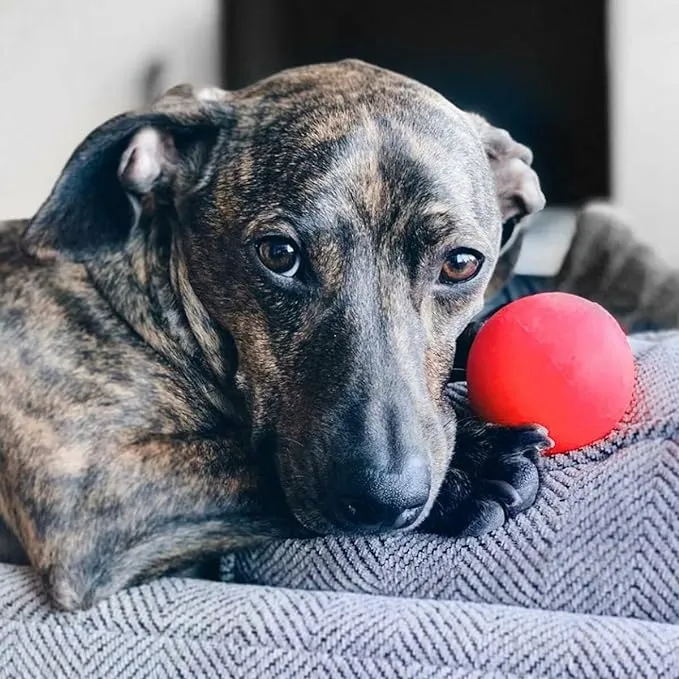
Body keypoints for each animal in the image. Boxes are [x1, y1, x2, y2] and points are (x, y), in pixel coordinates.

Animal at [0, 59, 552, 612]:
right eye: (279, 253)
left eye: (461, 263)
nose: (384, 500)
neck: (147, 306)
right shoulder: (91, 500)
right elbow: (246, 463)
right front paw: (474, 468)